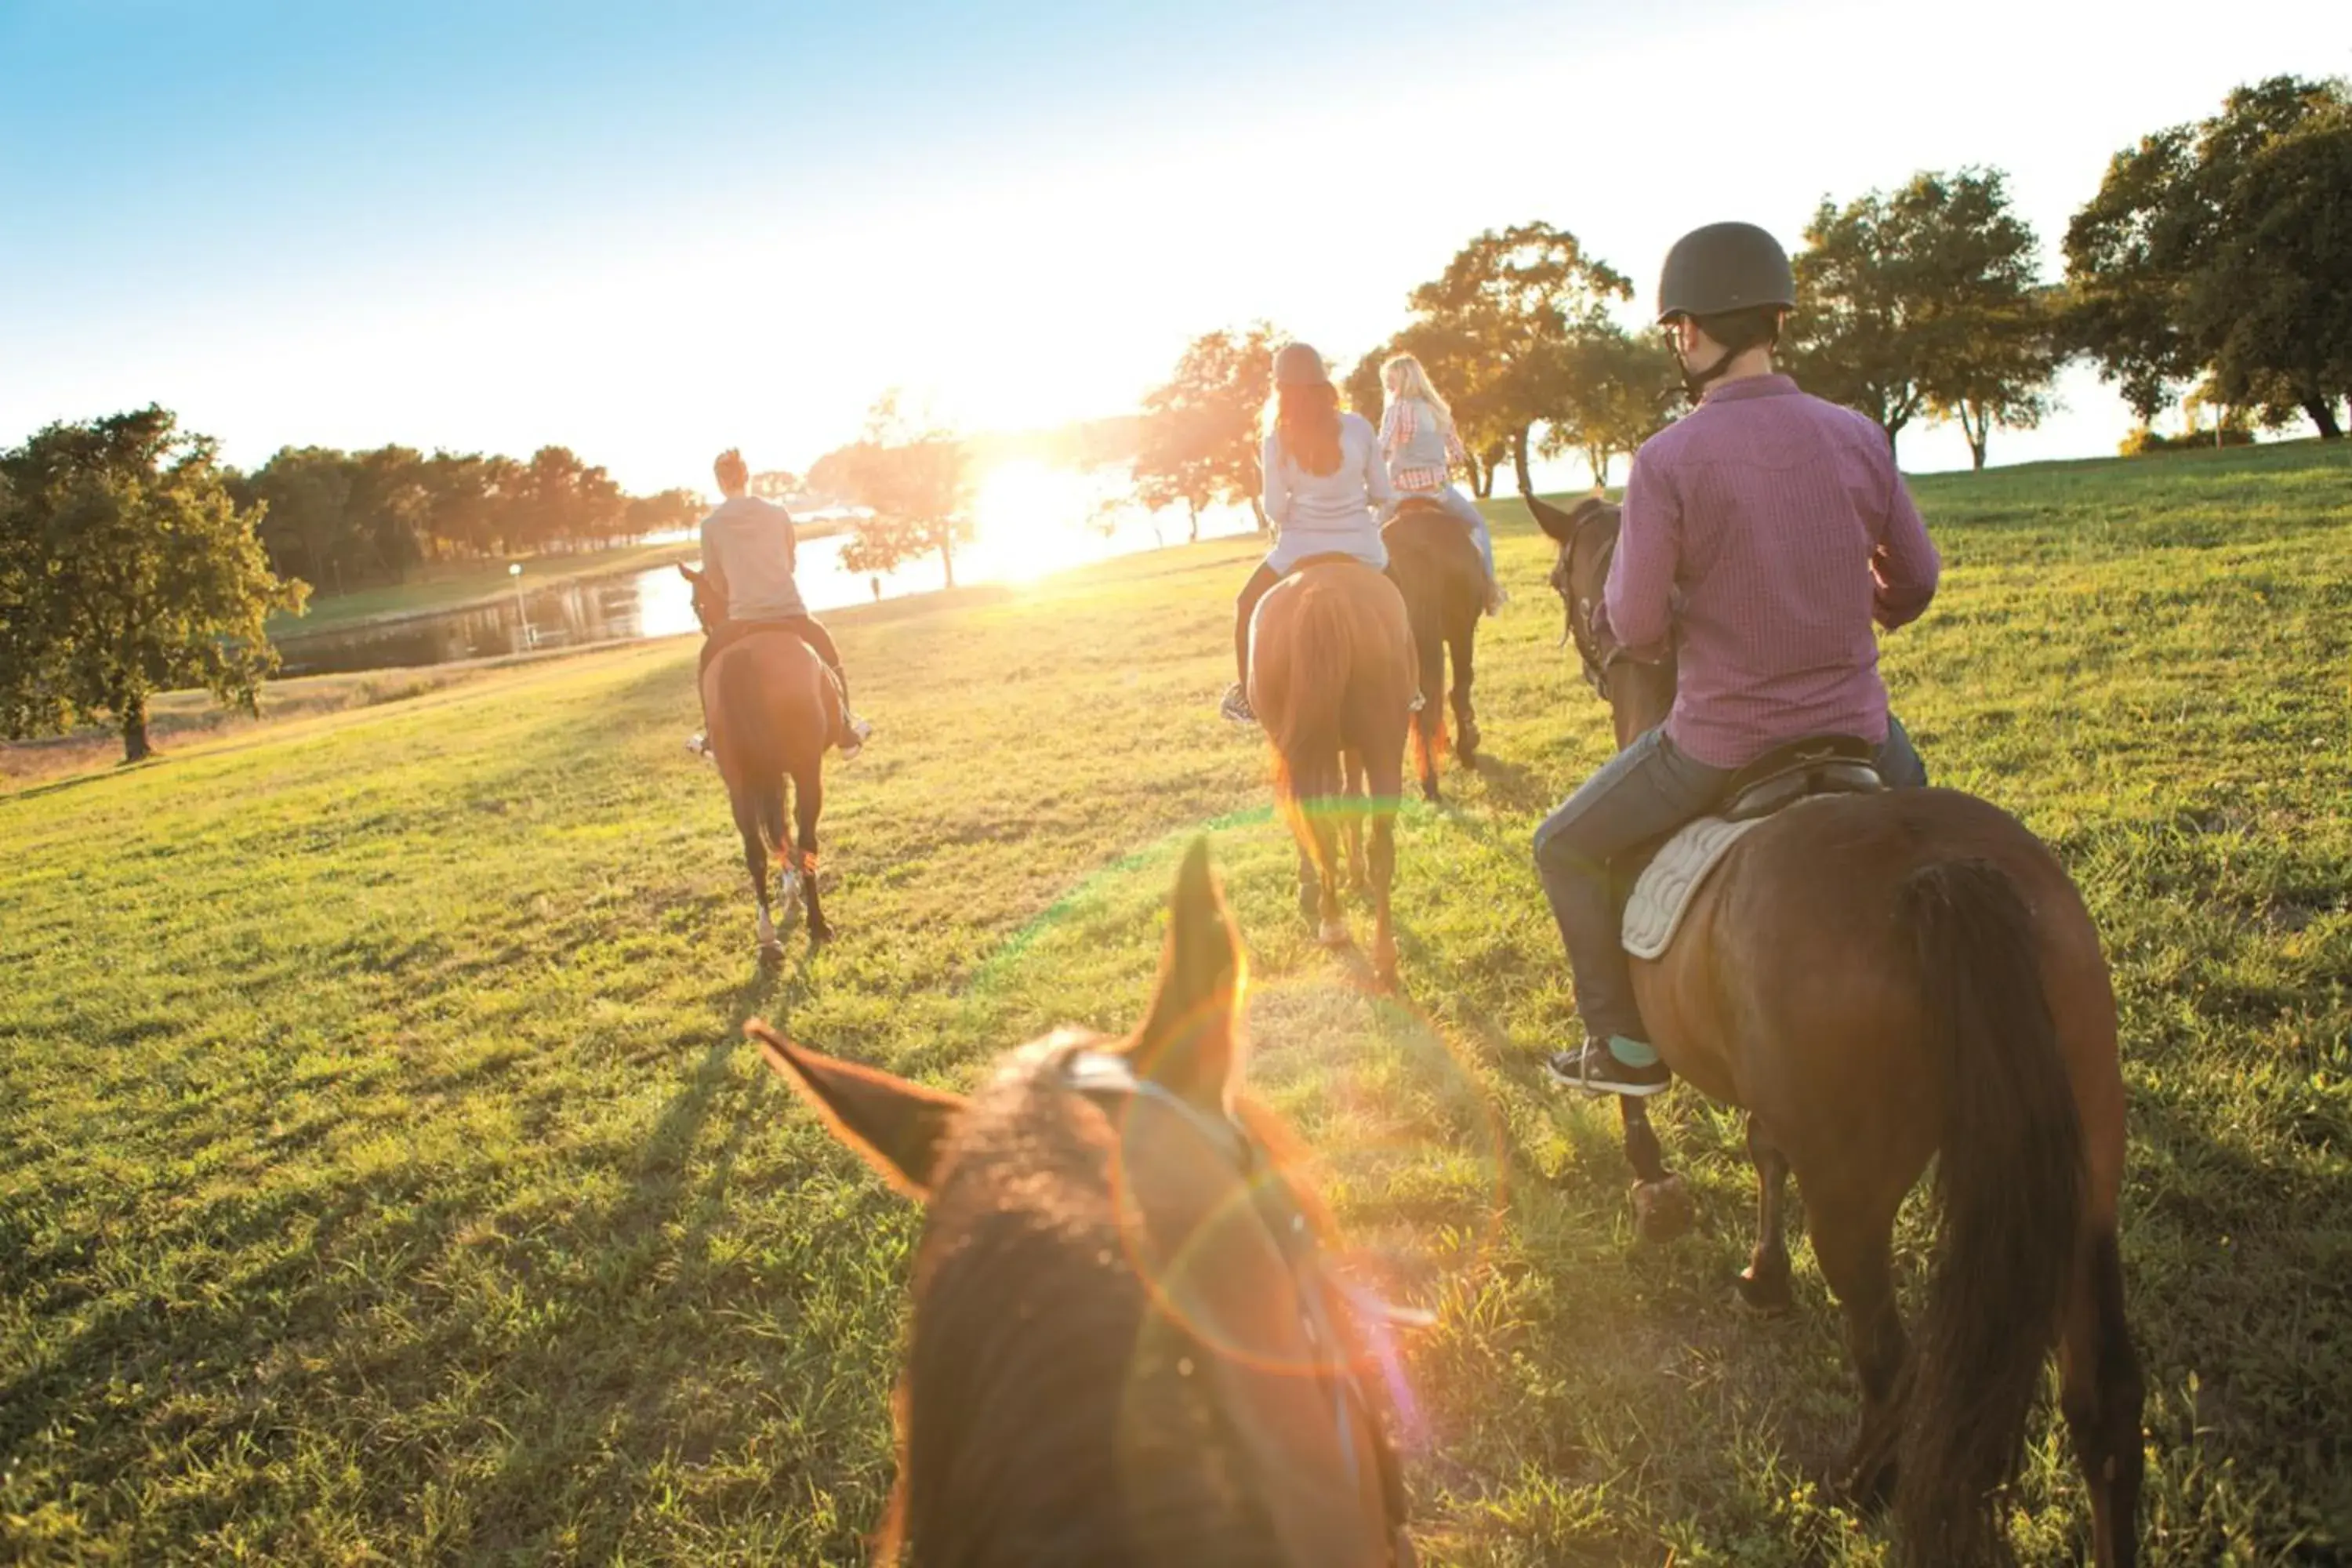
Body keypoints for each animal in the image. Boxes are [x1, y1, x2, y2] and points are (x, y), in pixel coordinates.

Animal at [687, 564, 842, 959]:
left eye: (697, 605)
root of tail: (743, 656)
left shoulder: (765, 774)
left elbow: (775, 827)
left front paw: (789, 894)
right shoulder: (794, 769)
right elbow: (787, 828)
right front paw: (795, 896)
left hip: (739, 780)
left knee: (756, 849)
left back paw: (768, 936)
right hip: (806, 770)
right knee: (806, 839)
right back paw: (817, 923)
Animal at [1251, 557, 1411, 987]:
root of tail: (1323, 596)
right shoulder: (1347, 746)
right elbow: (1346, 801)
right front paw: (1350, 873)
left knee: (1319, 828)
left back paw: (1336, 922)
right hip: (1382, 743)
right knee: (1378, 845)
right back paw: (1380, 951)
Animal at [1524, 493, 2154, 1568]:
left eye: (1568, 578)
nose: (1591, 643)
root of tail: (1937, 873)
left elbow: (1632, 1091)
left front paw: (1658, 1189)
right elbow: (1763, 1145)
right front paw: (1764, 1274)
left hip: (1858, 1199)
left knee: (1893, 1364)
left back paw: (1863, 1480)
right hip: (2083, 1175)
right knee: (2101, 1405)